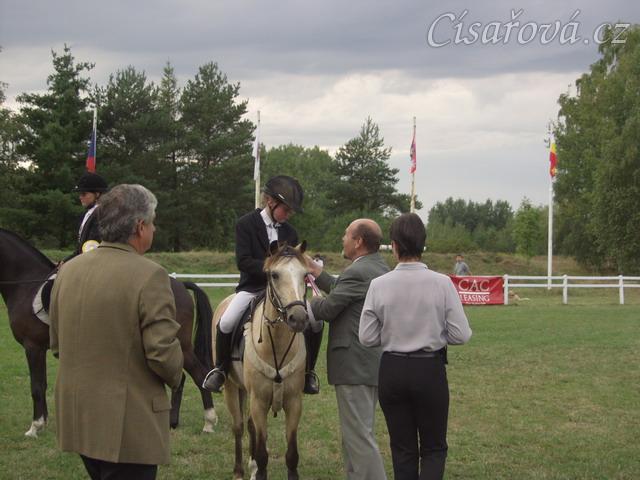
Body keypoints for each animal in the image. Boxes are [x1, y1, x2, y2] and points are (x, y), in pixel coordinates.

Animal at [0, 227, 218, 437]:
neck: (26, 284)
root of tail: (180, 284)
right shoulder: (37, 348)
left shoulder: (33, 346)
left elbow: (37, 387)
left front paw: (35, 427)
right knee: (180, 379)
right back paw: (172, 423)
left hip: (179, 345)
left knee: (199, 376)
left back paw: (208, 423)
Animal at [214, 242, 310, 480]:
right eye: (274, 275)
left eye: (305, 275)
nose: (298, 318)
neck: (276, 341)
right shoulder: (258, 401)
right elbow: (263, 454)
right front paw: (257, 468)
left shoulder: (294, 402)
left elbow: (291, 454)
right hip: (231, 387)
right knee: (239, 426)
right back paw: (239, 470)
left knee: (249, 427)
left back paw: (251, 466)